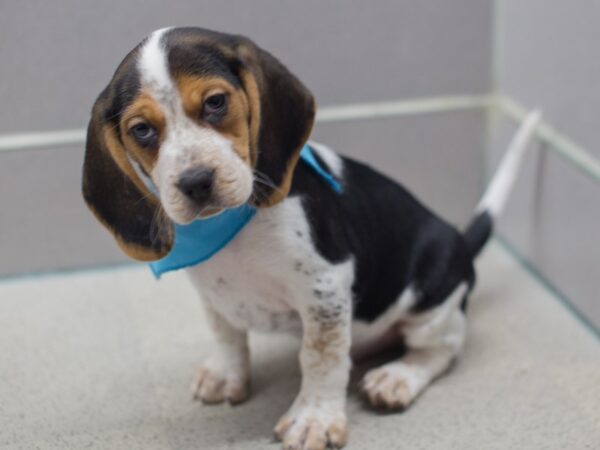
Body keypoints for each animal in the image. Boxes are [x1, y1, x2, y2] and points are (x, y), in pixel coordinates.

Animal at [83, 27, 540, 450]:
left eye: (215, 102)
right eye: (142, 130)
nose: (195, 182)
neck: (233, 227)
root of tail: (460, 244)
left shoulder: (325, 287)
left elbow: (320, 358)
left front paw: (314, 419)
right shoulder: (213, 293)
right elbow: (226, 334)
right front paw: (226, 374)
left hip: (431, 300)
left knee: (443, 349)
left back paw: (396, 378)